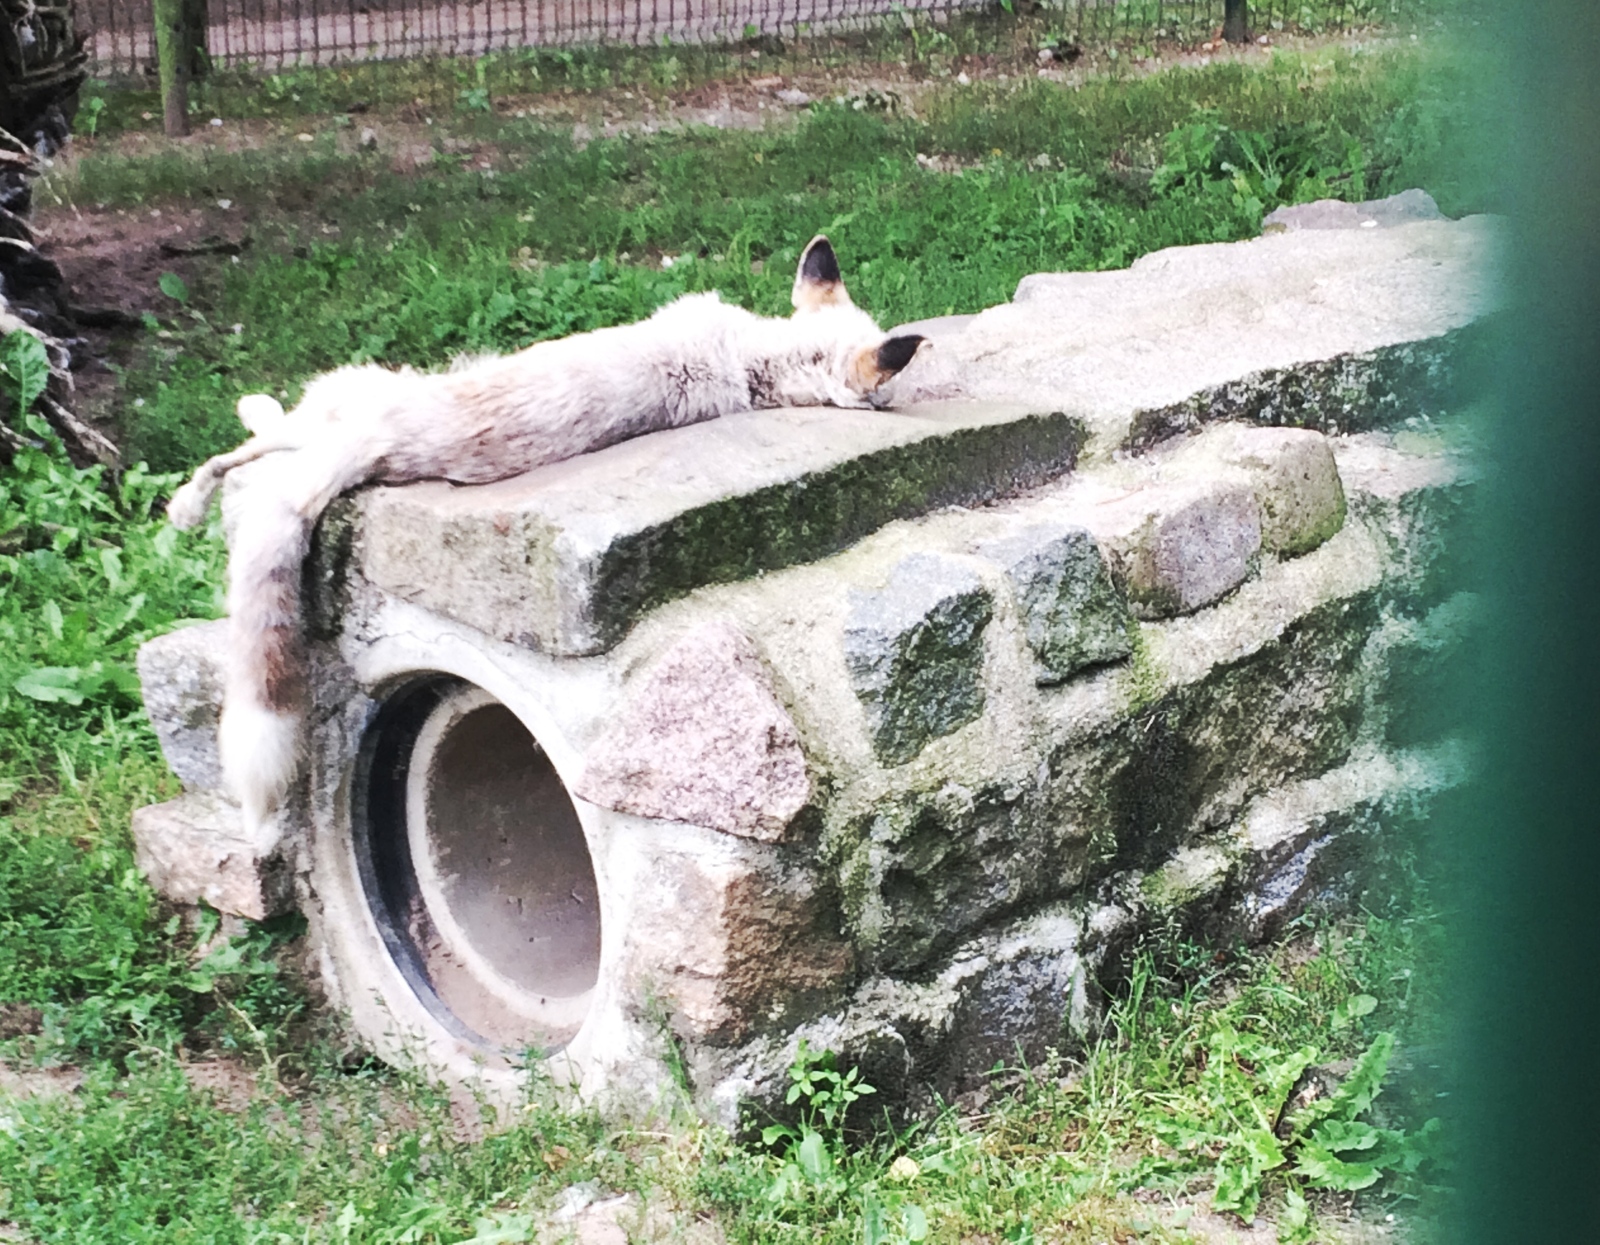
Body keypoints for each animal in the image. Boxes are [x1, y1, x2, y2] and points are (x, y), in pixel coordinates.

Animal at [165, 235, 928, 844]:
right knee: (255, 446)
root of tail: (374, 448)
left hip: (336, 406)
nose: (894, 400)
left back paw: (195, 491)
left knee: (255, 447)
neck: (754, 364)